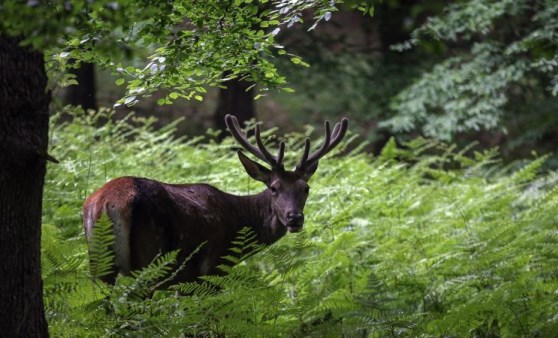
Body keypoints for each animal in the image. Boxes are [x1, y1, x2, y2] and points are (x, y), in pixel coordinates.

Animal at [82, 114, 348, 286]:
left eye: (306, 188)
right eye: (274, 188)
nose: (294, 218)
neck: (237, 219)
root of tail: (104, 204)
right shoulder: (211, 269)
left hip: (100, 266)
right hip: (148, 260)